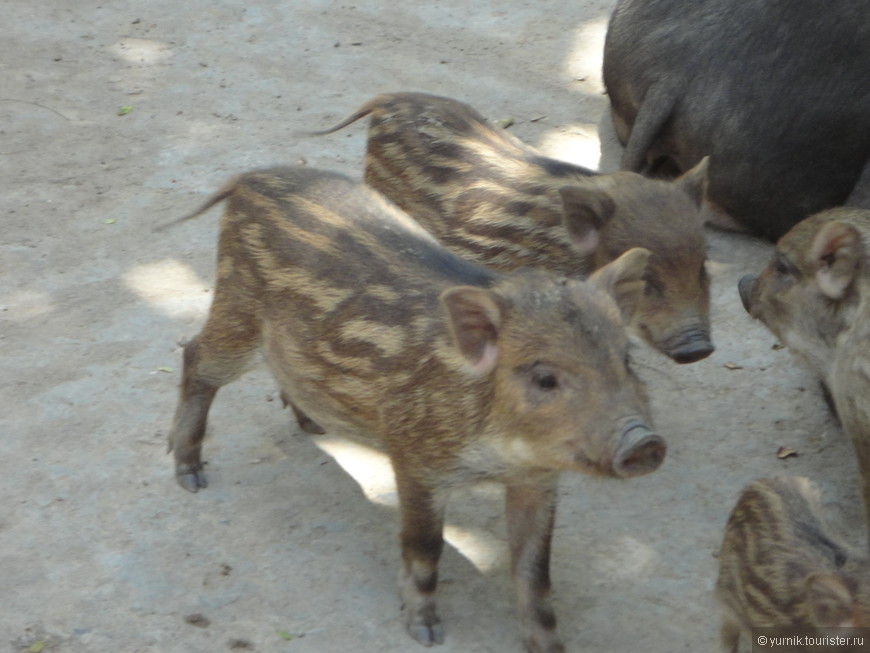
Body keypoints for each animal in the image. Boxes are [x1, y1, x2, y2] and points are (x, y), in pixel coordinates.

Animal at [165, 166, 668, 648]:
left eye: (625, 359)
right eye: (545, 377)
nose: (644, 442)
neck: (499, 452)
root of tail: (249, 179)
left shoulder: (538, 480)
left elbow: (534, 569)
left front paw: (549, 646)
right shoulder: (416, 459)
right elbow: (426, 547)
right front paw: (426, 633)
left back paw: (313, 427)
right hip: (236, 311)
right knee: (195, 356)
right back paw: (190, 476)